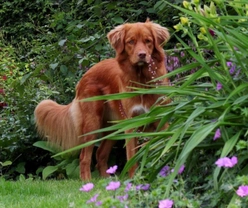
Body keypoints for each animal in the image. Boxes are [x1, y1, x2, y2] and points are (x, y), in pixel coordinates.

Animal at [34, 18, 170, 180]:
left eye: (148, 41)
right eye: (131, 41)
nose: (142, 55)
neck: (142, 80)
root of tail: (85, 75)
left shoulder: (162, 120)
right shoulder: (131, 124)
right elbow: (132, 157)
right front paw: (133, 180)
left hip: (113, 127)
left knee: (100, 154)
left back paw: (107, 180)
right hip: (93, 123)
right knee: (85, 157)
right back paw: (88, 181)